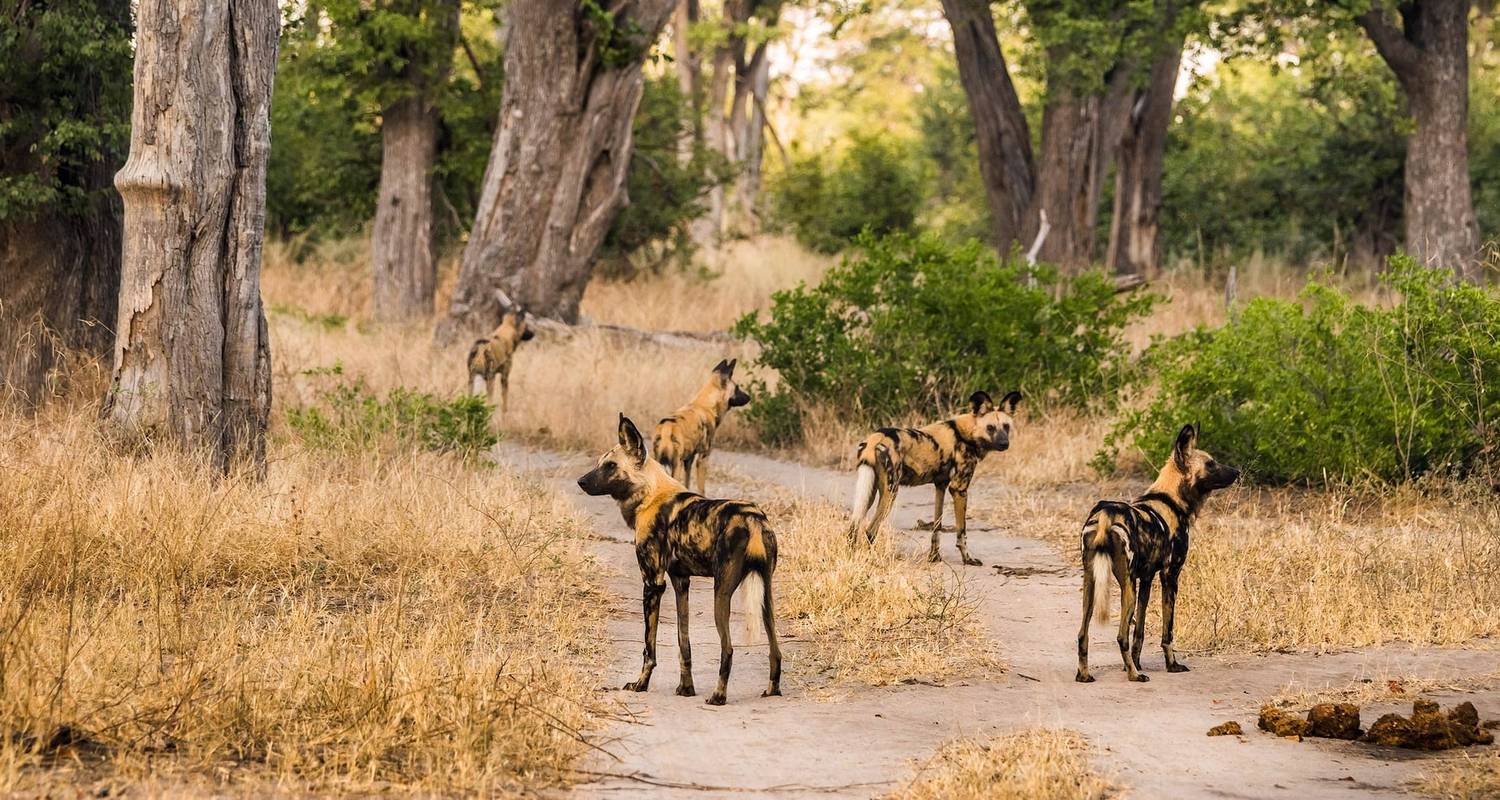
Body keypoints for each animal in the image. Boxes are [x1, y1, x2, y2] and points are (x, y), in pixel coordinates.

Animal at [576, 414, 786, 702]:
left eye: (610, 466)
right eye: (599, 463)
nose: (581, 482)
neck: (650, 494)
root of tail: (753, 517)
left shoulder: (653, 584)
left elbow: (648, 648)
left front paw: (640, 684)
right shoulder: (680, 582)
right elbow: (683, 642)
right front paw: (686, 689)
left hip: (721, 594)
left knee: (728, 648)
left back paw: (718, 696)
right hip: (766, 596)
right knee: (776, 649)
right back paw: (772, 690)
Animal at [654, 357, 750, 492]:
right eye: (737, 388)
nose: (749, 397)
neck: (706, 405)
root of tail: (667, 428)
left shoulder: (689, 460)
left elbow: (687, 484)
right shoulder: (702, 459)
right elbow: (702, 490)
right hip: (676, 467)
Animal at [852, 390, 1026, 564]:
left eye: (1006, 427)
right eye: (990, 428)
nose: (1004, 444)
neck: (966, 434)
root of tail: (876, 437)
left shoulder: (940, 486)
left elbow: (937, 527)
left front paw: (934, 557)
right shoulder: (958, 489)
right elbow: (962, 532)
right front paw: (967, 559)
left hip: (869, 492)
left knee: (853, 527)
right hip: (890, 492)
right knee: (870, 531)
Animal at [1080, 423, 1242, 681]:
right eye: (1211, 464)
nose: (1236, 471)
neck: (1171, 500)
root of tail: (1106, 513)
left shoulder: (1146, 578)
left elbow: (1140, 630)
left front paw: (1137, 662)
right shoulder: (1170, 576)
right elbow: (1168, 631)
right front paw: (1171, 665)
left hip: (1091, 582)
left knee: (1082, 634)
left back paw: (1086, 675)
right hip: (1127, 586)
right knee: (1121, 635)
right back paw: (1134, 676)